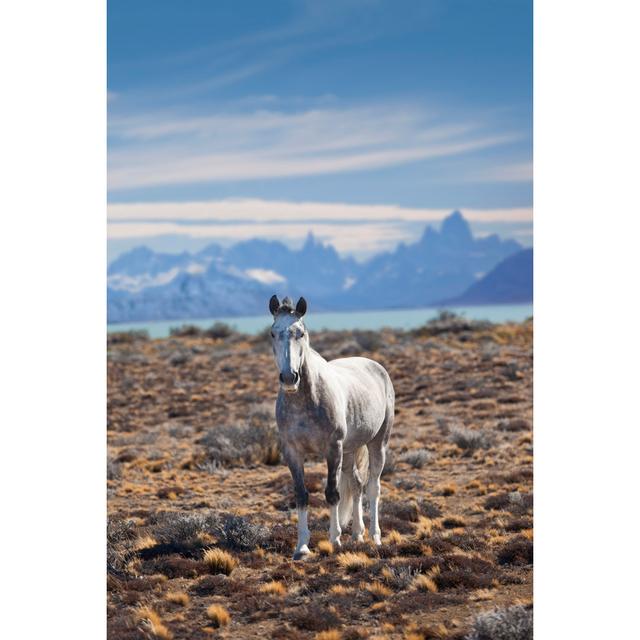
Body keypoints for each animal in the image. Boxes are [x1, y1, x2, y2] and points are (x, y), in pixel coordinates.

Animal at [266, 296, 396, 560]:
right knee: (356, 485)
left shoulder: (332, 448)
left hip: (378, 443)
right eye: (273, 333)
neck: (306, 401)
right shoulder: (292, 451)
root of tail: (376, 366)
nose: (289, 378)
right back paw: (357, 534)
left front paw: (335, 540)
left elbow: (332, 493)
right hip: (350, 450)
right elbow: (301, 495)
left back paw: (375, 537)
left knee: (373, 487)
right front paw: (302, 547)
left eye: (301, 333)